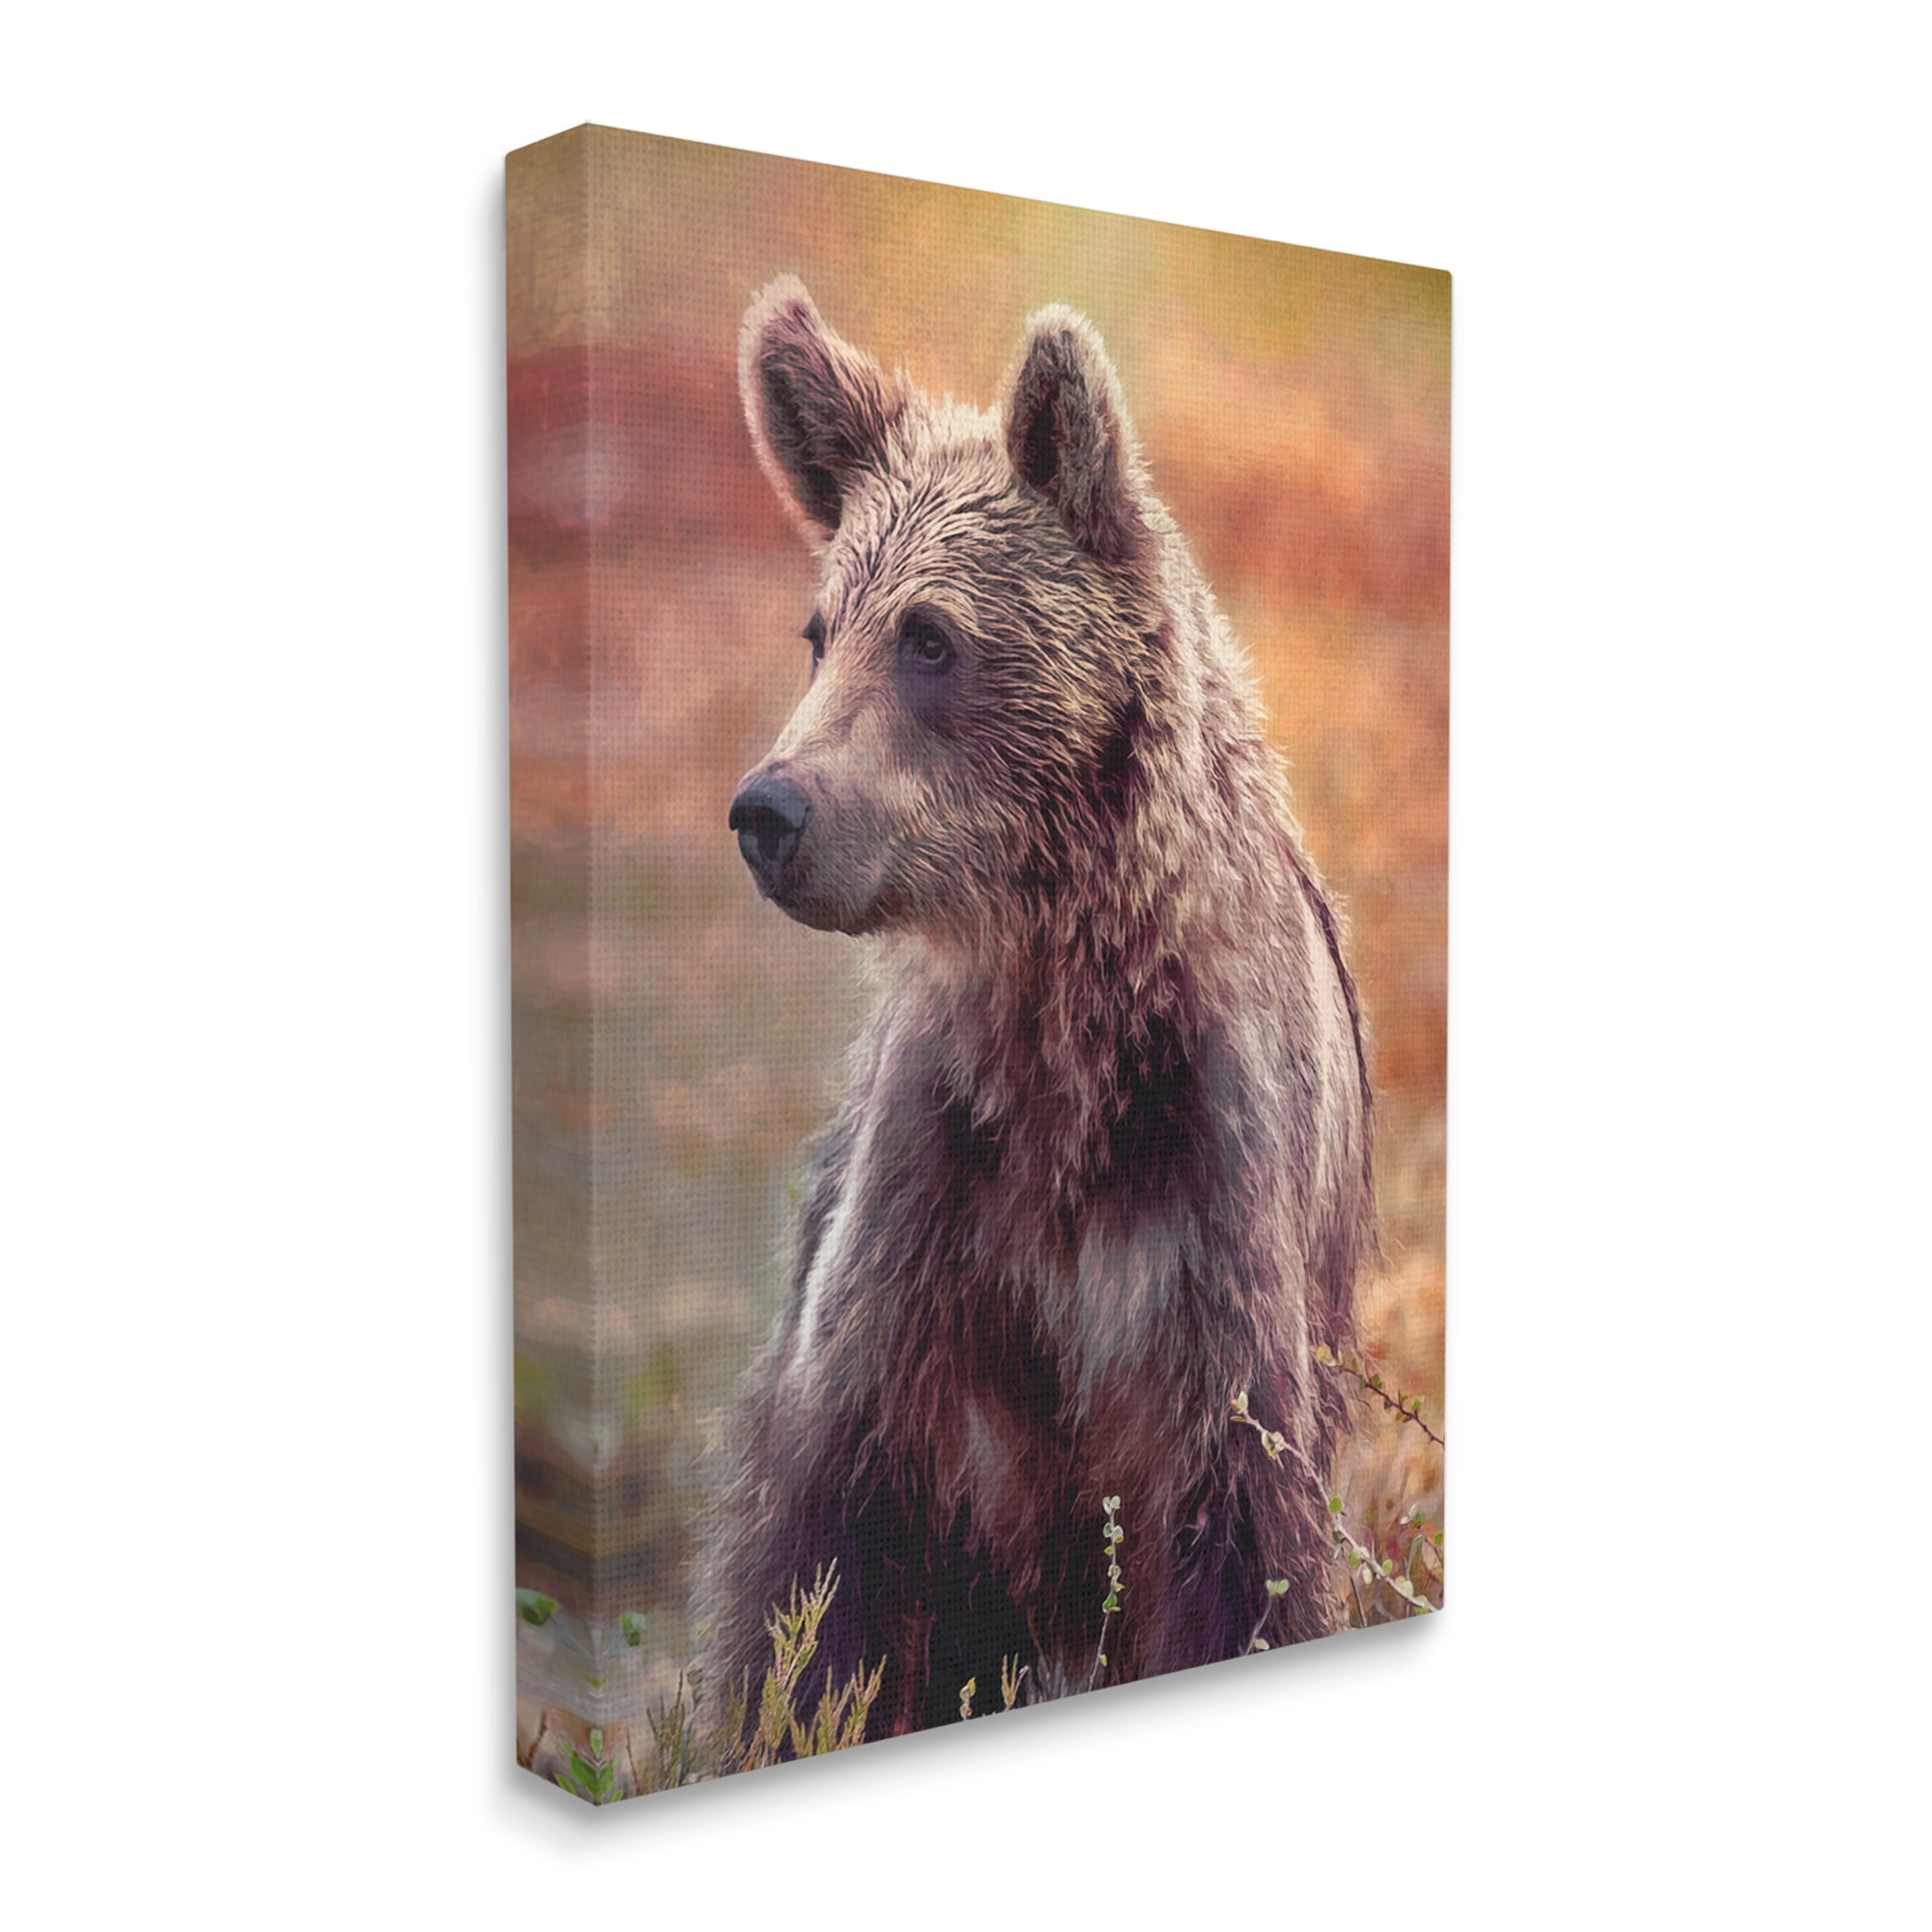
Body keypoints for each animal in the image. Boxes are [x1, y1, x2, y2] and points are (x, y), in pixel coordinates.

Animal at [702, 277, 1374, 1740]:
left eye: (931, 635)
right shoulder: (934, 1217)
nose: (770, 809)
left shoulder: (1204, 1219)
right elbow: (826, 1572)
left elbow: (1241, 1551)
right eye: (820, 628)